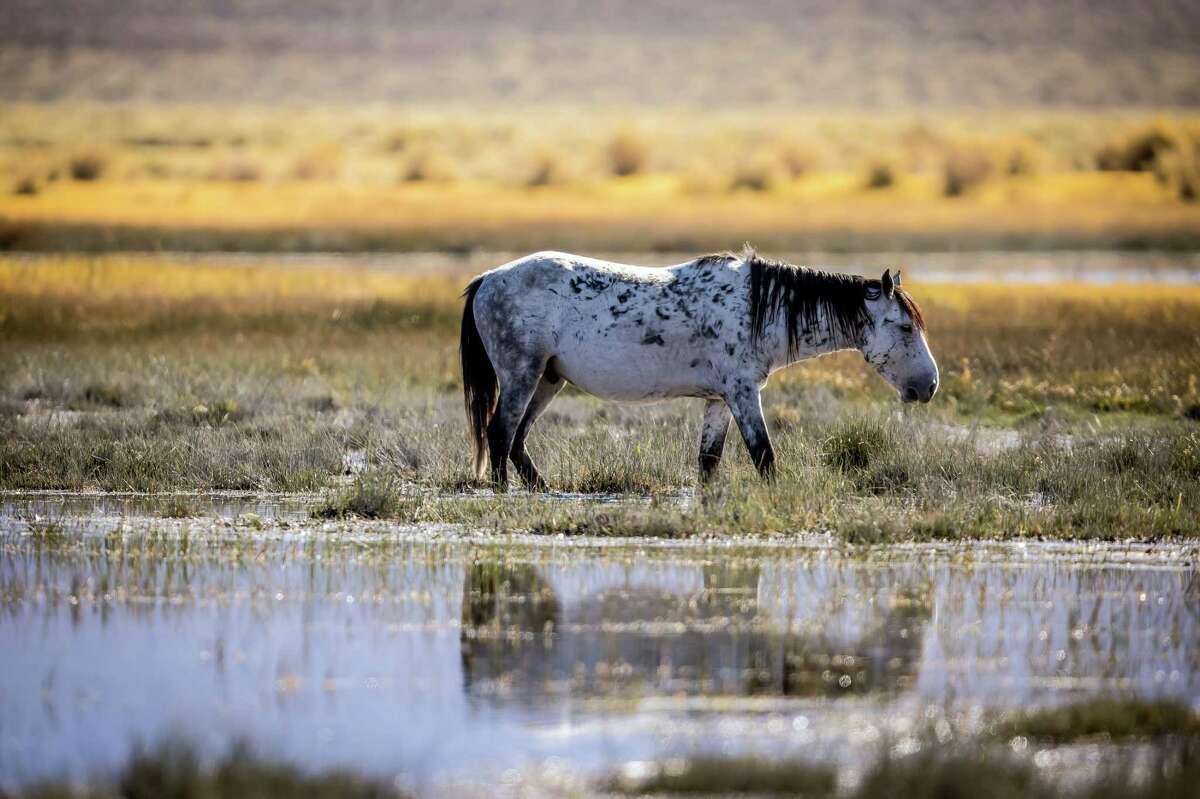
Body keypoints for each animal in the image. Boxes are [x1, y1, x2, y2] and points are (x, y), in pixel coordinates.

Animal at [460, 247, 937, 490]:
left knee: (517, 441)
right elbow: (764, 456)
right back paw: (504, 494)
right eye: (904, 326)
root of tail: (488, 277)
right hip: (522, 375)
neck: (758, 307)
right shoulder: (743, 393)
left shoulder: (719, 400)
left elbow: (708, 462)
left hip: (548, 379)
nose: (929, 385)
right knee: (500, 434)